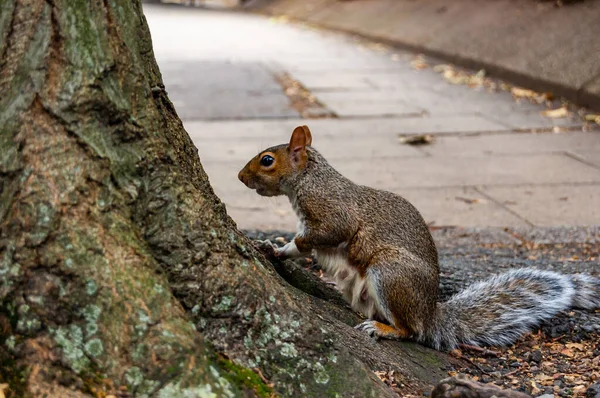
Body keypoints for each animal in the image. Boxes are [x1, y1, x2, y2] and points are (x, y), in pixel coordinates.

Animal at [238, 126, 600, 350]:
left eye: (267, 160)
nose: (240, 177)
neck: (308, 179)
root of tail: (429, 314)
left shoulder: (331, 213)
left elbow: (320, 235)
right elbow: (297, 247)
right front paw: (272, 249)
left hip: (391, 273)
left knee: (411, 331)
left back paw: (383, 329)